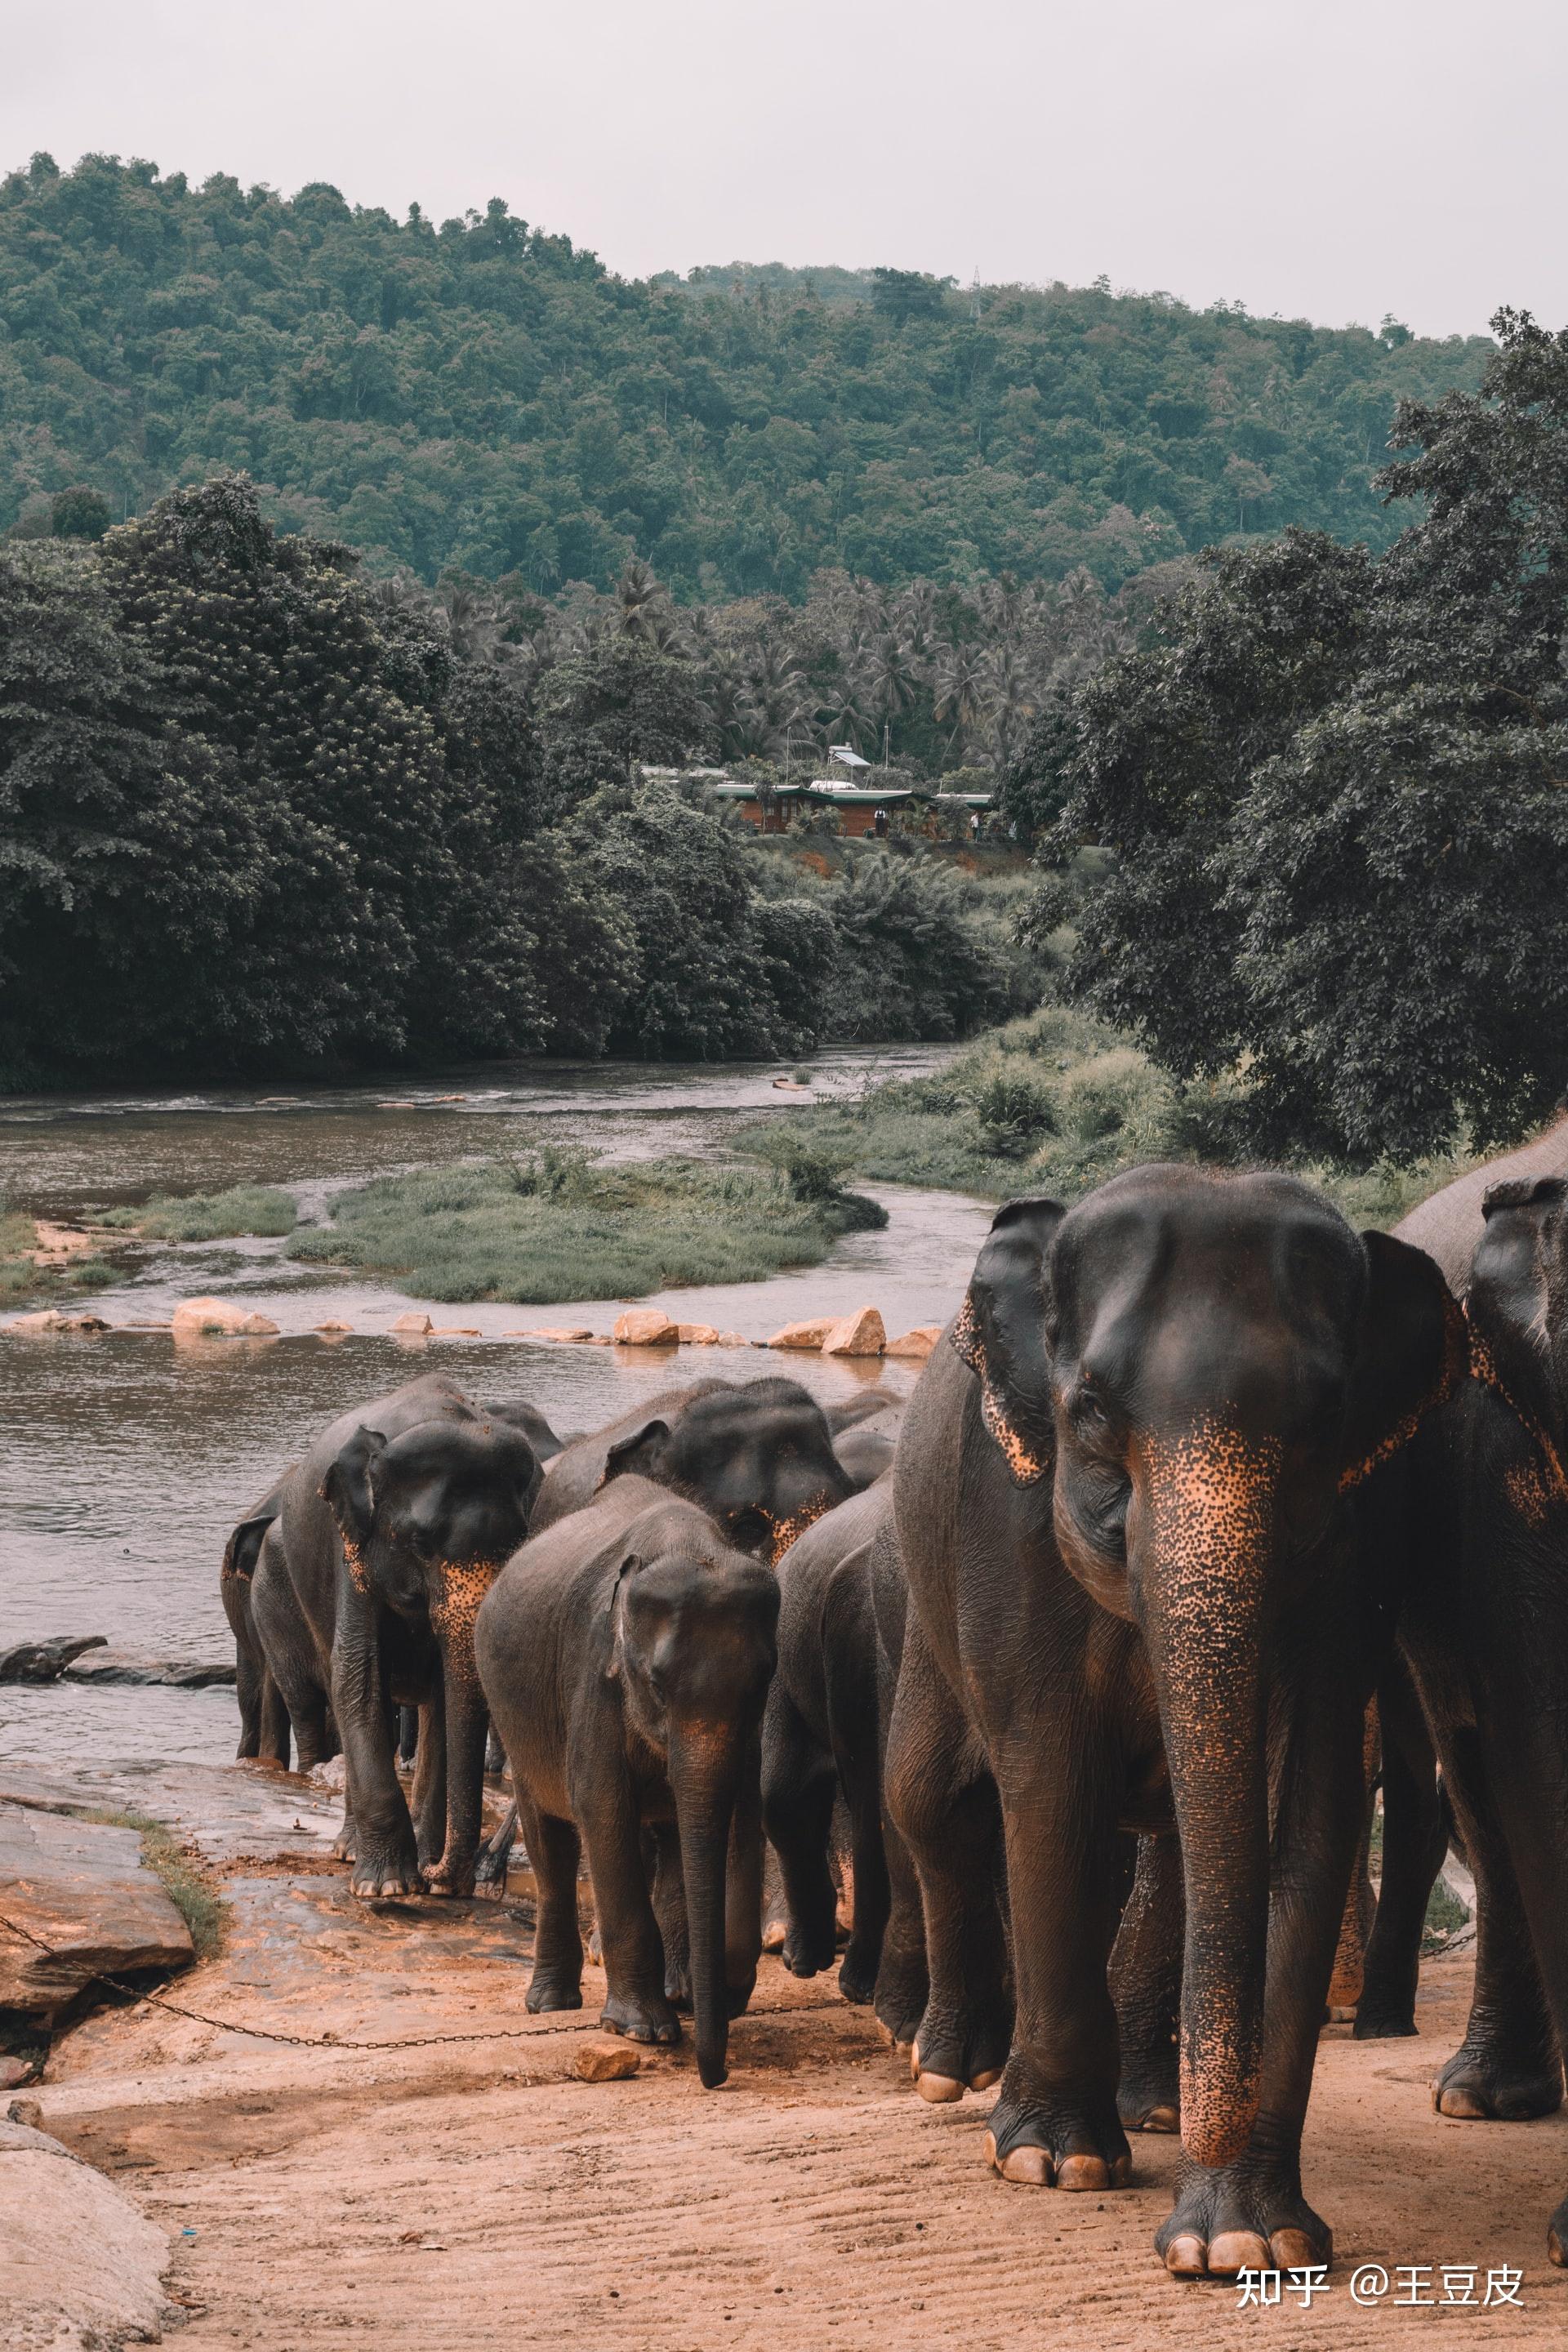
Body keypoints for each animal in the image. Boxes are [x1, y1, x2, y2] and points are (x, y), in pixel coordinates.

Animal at [270, 1373, 541, 1900]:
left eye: (518, 1544)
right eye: (421, 1544)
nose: (448, 1876)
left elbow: (445, 1698)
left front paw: (427, 1878)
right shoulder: (351, 1549)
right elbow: (358, 1680)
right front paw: (388, 1887)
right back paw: (350, 1851)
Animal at [472, 1477, 780, 2088]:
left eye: (762, 1682)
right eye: (656, 1684)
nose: (715, 2077)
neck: (689, 1545)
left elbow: (735, 1812)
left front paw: (709, 1996)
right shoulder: (594, 1674)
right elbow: (602, 1808)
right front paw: (643, 2030)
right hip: (517, 1718)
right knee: (551, 1840)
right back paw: (551, 2004)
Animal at [889, 1171, 1467, 2276]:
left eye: (1327, 1418)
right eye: (1090, 1409)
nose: (1212, 2118)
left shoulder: (1360, 1542)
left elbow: (1308, 1815)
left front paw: (1246, 2240)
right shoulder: (1005, 1522)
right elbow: (1050, 1792)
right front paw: (1054, 2164)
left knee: (1171, 1853)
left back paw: (1151, 2106)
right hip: (924, 1598)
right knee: (930, 1800)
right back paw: (951, 2073)